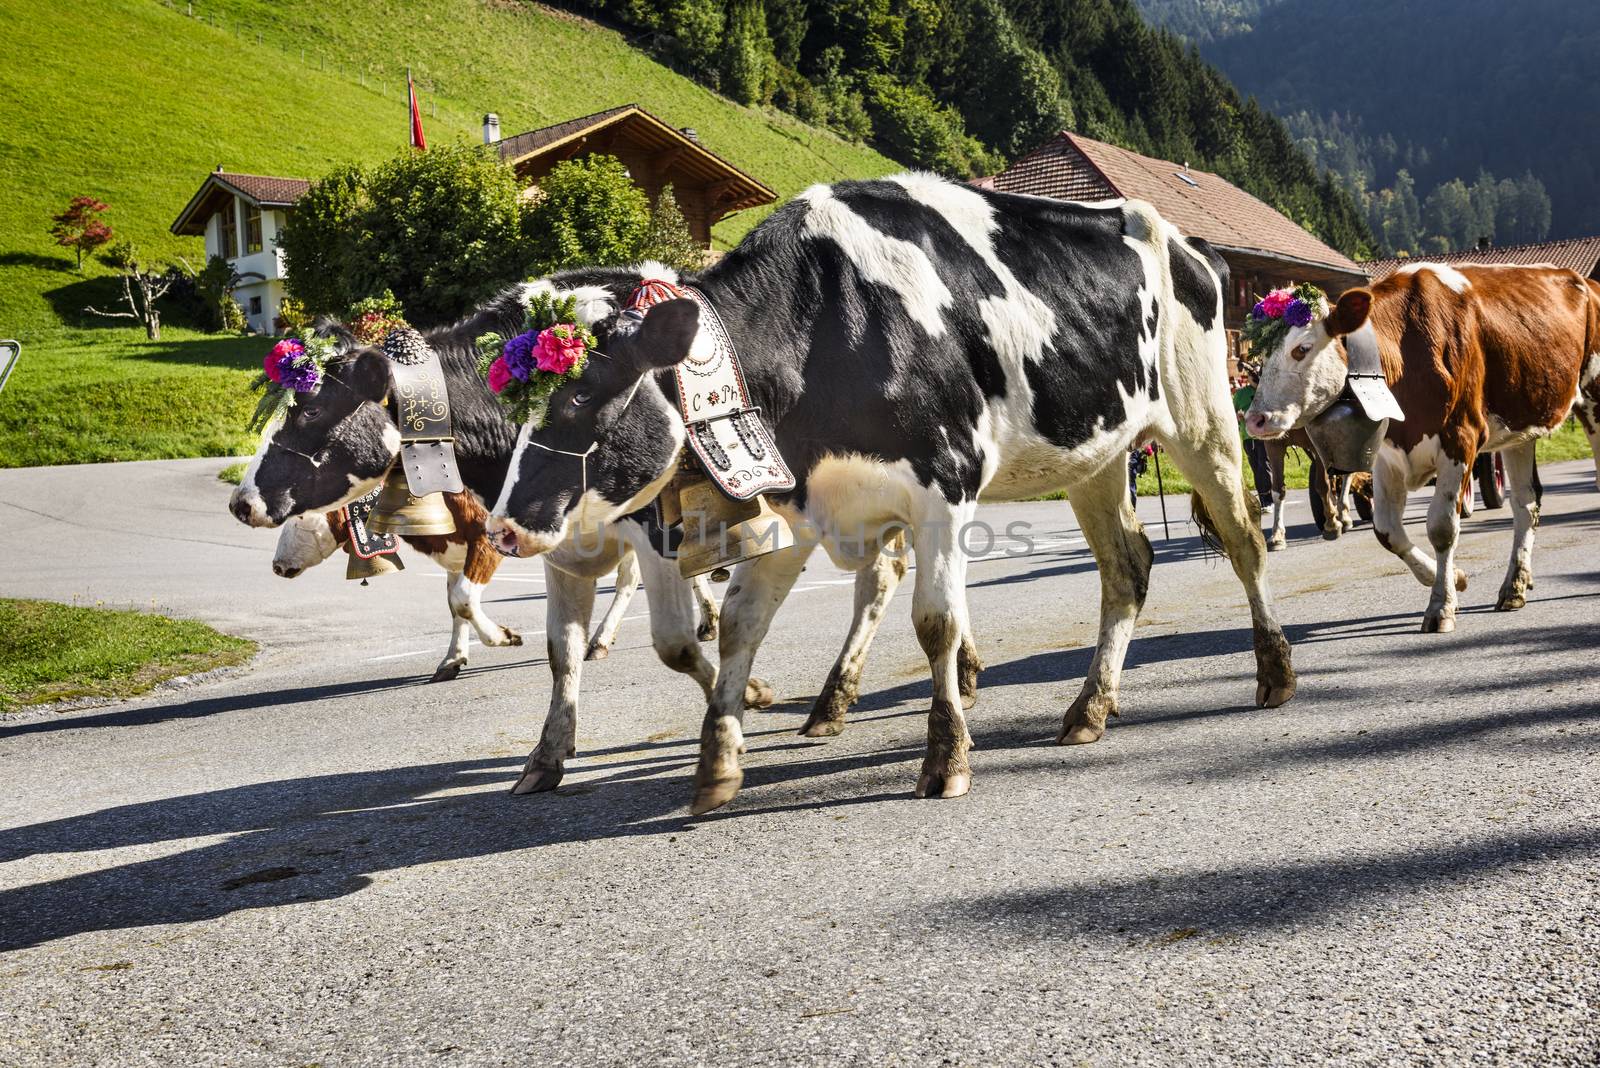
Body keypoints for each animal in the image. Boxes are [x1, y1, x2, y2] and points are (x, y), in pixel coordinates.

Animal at [489, 173, 1299, 818]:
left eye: (578, 397)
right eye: (514, 409)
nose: (503, 528)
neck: (824, 324)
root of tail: (1187, 240)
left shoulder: (945, 484)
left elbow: (936, 623)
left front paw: (945, 760)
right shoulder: (796, 509)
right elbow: (743, 627)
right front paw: (718, 762)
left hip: (1203, 419)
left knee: (1243, 539)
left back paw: (1274, 673)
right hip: (1095, 454)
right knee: (1127, 567)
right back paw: (1090, 709)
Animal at [1248, 265, 1600, 633]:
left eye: (1302, 348)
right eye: (1260, 354)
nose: (1254, 419)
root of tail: (1584, 280)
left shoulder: (1461, 437)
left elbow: (1442, 527)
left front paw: (1440, 605)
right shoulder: (1387, 455)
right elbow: (1387, 531)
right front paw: (1454, 579)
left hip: (1593, 398)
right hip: (1520, 428)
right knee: (1526, 504)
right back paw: (1515, 586)